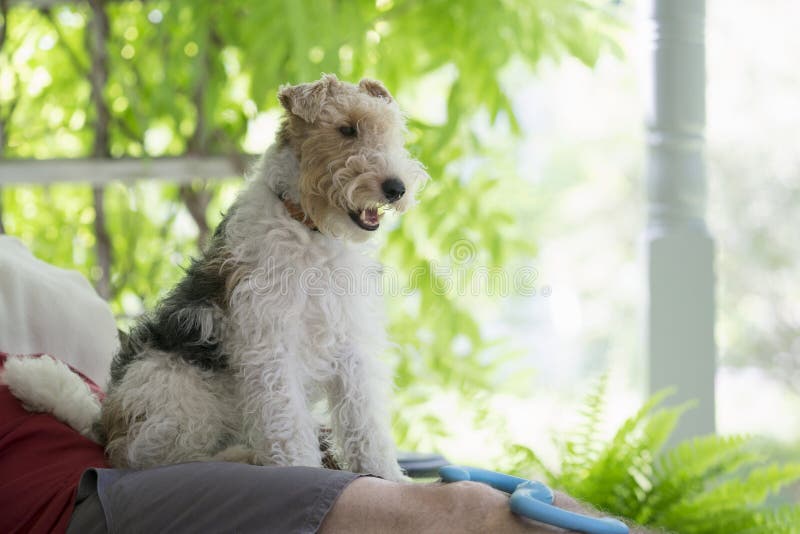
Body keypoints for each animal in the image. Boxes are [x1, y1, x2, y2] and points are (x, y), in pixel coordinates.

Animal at [3, 73, 428, 484]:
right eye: (346, 129)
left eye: (392, 132)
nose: (396, 188)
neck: (308, 229)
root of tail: (103, 421)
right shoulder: (272, 346)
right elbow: (289, 425)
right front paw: (304, 471)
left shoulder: (349, 344)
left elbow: (365, 422)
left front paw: (388, 477)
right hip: (179, 390)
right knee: (157, 458)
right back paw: (244, 456)